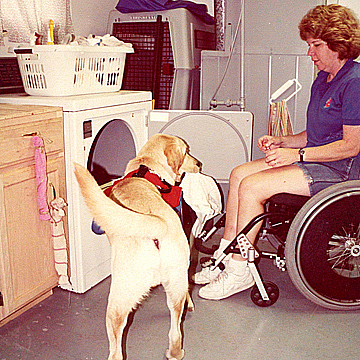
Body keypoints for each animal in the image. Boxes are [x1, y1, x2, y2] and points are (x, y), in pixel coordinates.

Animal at [74, 134, 201, 358]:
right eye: (186, 152)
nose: (198, 164)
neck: (148, 170)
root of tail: (158, 225)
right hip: (175, 284)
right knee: (176, 331)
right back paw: (174, 352)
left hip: (117, 302)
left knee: (116, 350)